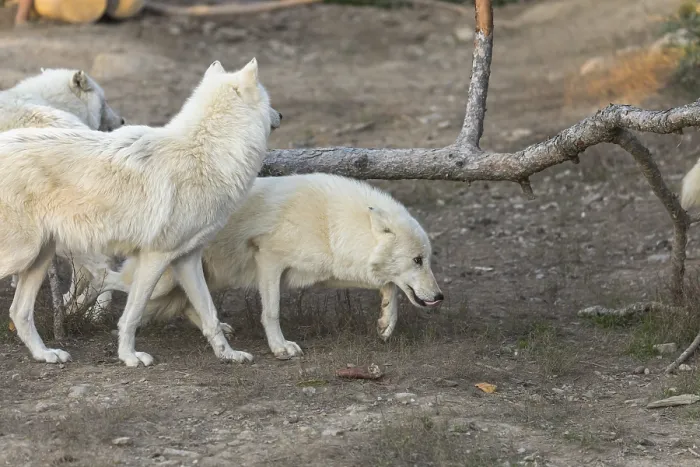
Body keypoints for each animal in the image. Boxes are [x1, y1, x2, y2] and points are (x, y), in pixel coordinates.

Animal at [0, 58, 276, 367]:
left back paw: (45, 354)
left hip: (39, 258)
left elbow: (210, 314)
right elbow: (132, 315)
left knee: (19, 312)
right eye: (268, 100)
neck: (205, 154)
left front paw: (228, 354)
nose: (280, 115)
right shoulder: (154, 257)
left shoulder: (186, 259)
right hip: (23, 255)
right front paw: (130, 357)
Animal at [75, 173, 444, 360]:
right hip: (162, 281)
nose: (440, 297)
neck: (331, 220)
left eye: (427, 259)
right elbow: (272, 312)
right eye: (417, 260)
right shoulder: (269, 261)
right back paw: (80, 305)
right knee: (109, 279)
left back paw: (221, 330)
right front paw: (280, 348)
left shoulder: (334, 270)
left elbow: (389, 285)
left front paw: (385, 324)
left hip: (193, 279)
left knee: (191, 305)